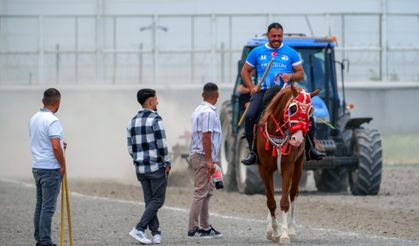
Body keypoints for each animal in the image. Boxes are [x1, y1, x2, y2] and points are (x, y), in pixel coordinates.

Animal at [256, 83, 318, 243]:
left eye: (310, 111)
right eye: (293, 108)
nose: (297, 139)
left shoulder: (288, 166)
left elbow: (284, 202)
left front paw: (284, 234)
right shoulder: (264, 168)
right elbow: (270, 201)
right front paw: (275, 231)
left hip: (298, 166)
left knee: (293, 194)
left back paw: (291, 230)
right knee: (270, 194)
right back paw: (270, 229)